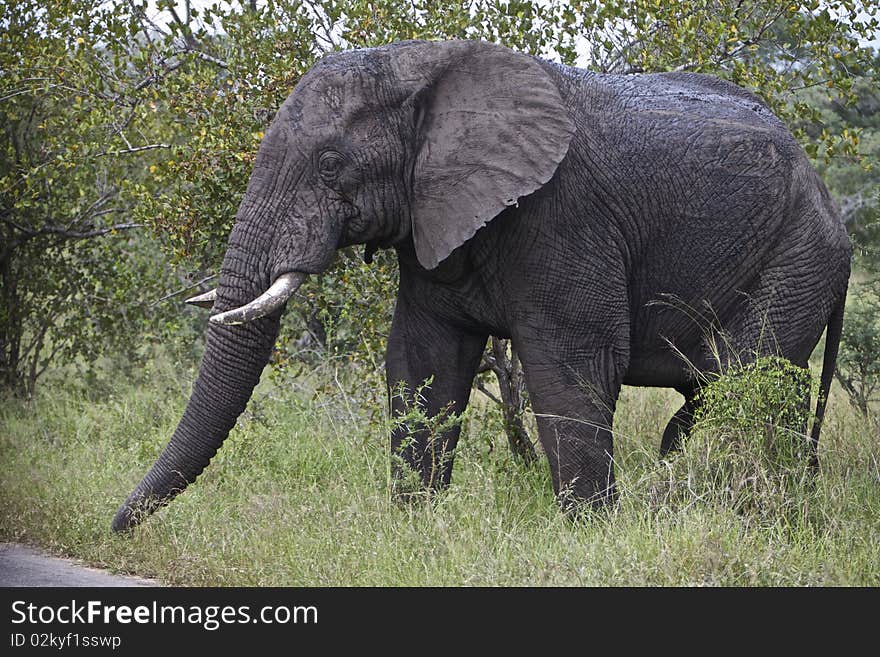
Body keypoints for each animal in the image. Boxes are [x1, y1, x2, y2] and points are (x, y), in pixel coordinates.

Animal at [108, 38, 844, 532]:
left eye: (328, 164)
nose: (113, 526)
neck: (422, 67)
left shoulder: (564, 216)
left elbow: (571, 365)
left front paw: (591, 535)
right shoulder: (430, 219)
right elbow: (424, 363)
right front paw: (415, 528)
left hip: (797, 254)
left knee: (743, 381)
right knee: (721, 396)